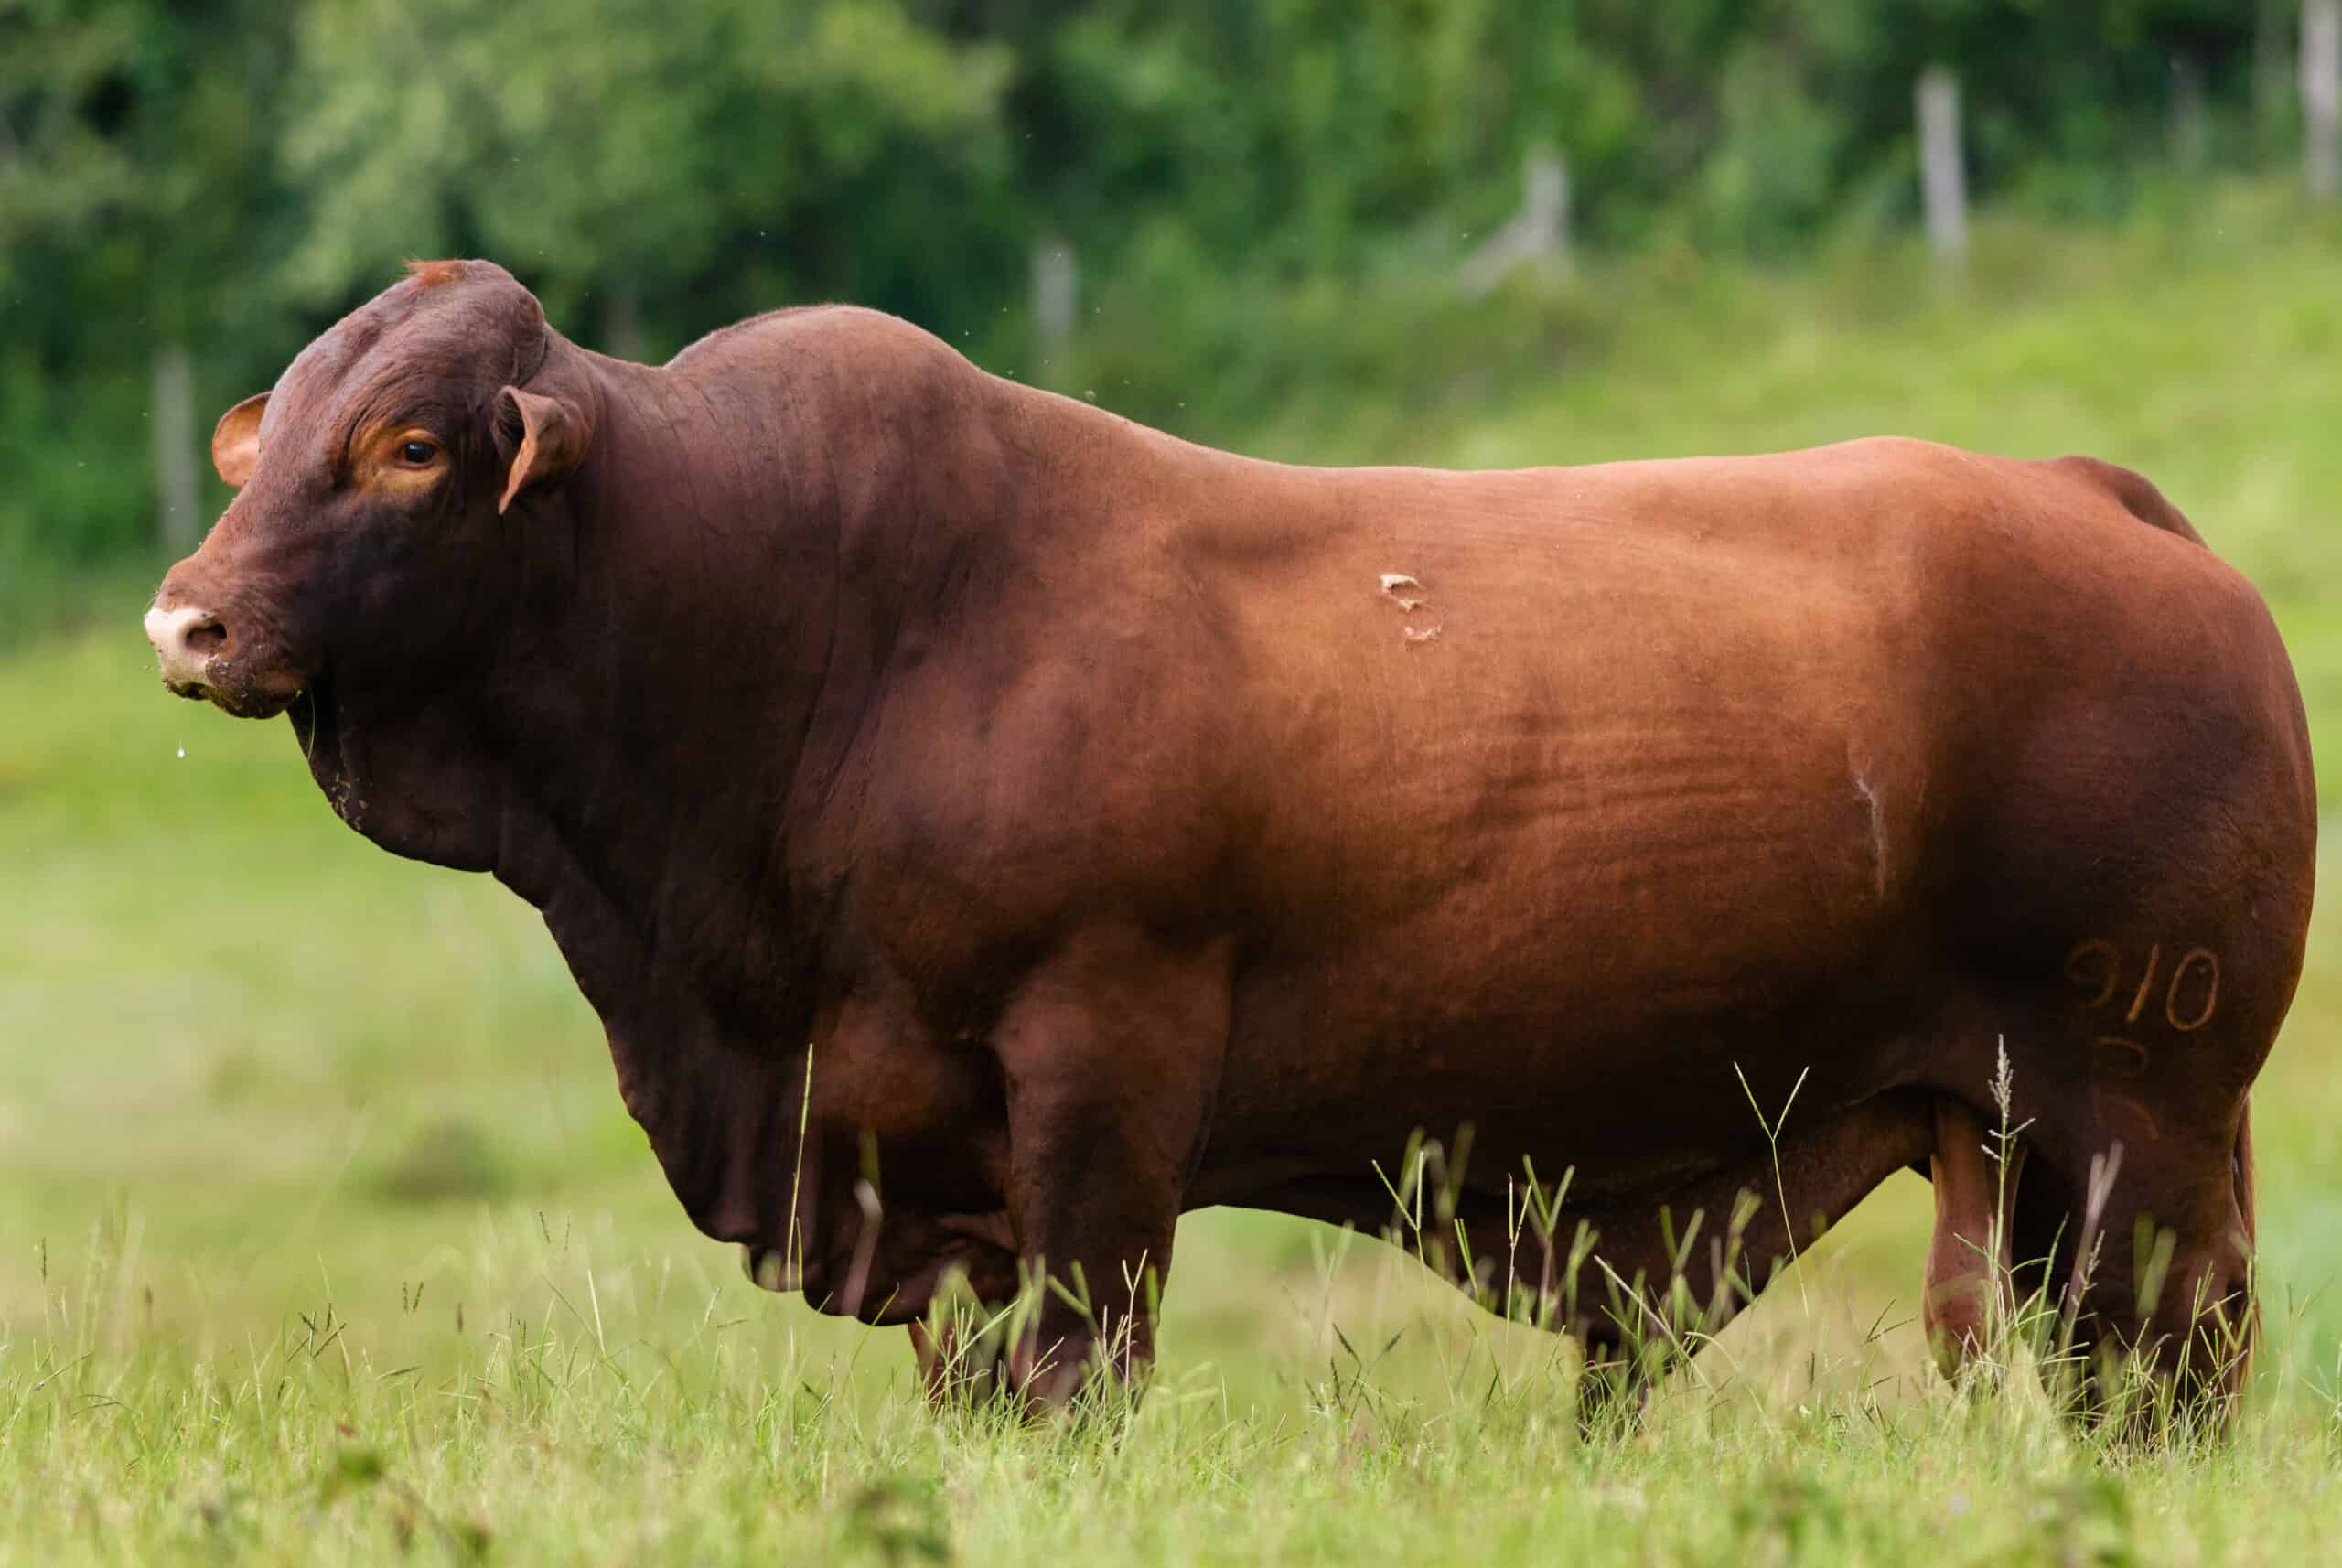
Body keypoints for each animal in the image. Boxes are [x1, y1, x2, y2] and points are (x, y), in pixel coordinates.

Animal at [151, 261, 2323, 1423]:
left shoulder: (1099, 1078)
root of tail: (2097, 498)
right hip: (2015, 1145)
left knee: (2172, 1375)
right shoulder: (919, 1162)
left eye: (407, 445)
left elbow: (1080, 1361)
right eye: (276, 436)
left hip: (2140, 1112)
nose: (189, 618)